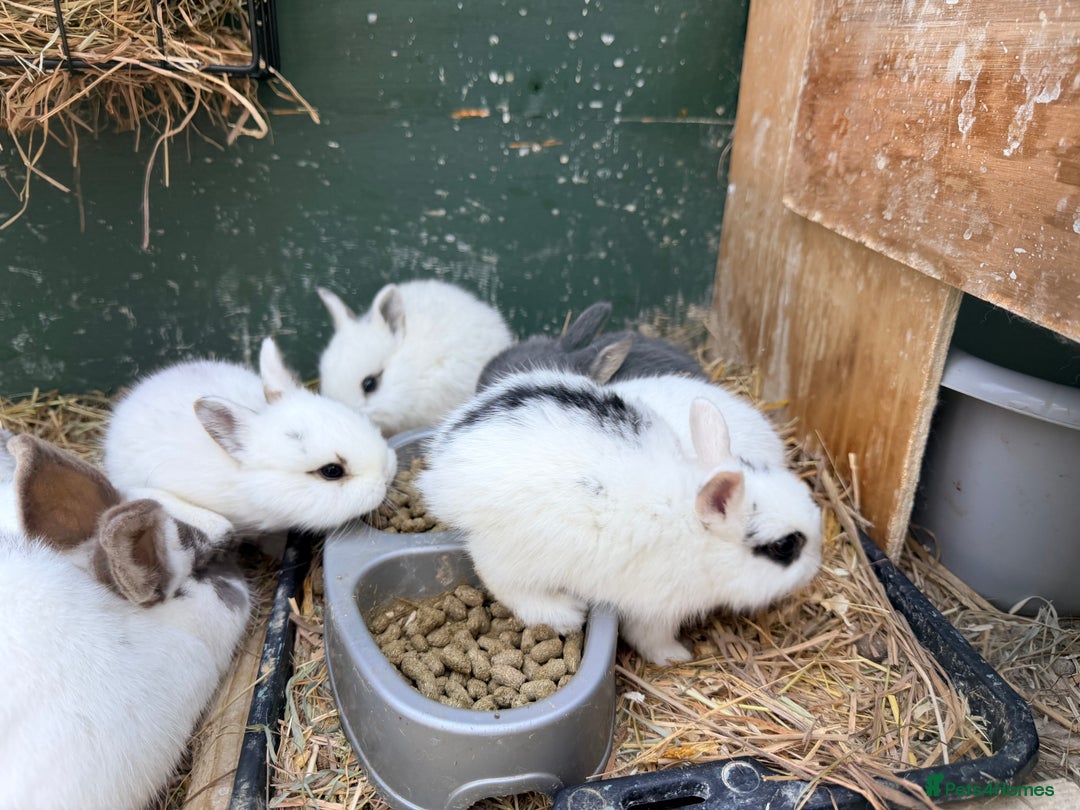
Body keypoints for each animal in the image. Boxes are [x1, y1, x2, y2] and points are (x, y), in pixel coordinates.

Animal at [416, 369, 822, 665]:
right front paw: (676, 657)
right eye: (785, 546)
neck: (695, 530)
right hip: (517, 554)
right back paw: (564, 613)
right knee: (502, 582)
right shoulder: (656, 610)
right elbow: (650, 639)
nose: (816, 568)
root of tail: (444, 467)